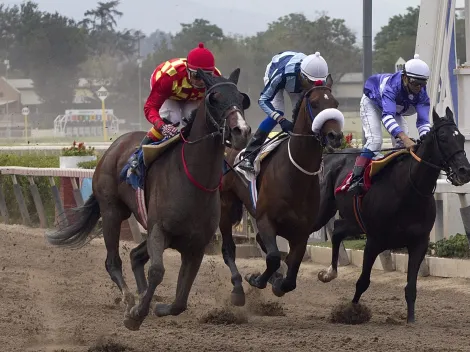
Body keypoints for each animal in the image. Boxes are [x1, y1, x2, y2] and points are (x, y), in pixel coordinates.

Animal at [46, 68, 253, 330]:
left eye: (242, 98)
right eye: (214, 98)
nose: (241, 131)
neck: (194, 180)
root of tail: (113, 147)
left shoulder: (196, 245)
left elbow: (180, 300)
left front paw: (157, 307)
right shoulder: (158, 230)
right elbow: (156, 271)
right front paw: (136, 315)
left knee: (135, 256)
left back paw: (143, 296)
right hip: (112, 212)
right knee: (113, 261)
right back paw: (129, 299)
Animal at [314, 106, 470, 322]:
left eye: (461, 137)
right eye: (444, 137)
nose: (464, 171)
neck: (408, 190)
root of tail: (331, 154)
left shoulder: (418, 243)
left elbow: (411, 287)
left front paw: (410, 320)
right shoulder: (374, 241)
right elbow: (363, 281)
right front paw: (351, 311)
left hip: (355, 222)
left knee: (337, 230)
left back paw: (329, 273)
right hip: (322, 210)